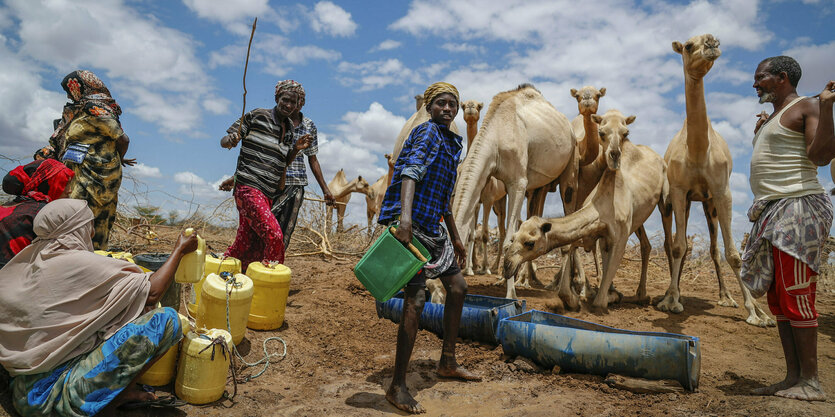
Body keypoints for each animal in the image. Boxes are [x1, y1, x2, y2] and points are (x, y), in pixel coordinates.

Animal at [454, 83, 580, 300]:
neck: (496, 135)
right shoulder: (489, 181)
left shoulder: (518, 182)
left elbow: (508, 241)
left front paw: (510, 295)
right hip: (539, 186)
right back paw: (524, 279)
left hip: (569, 165)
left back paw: (567, 287)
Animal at [502, 109, 672, 310]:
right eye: (513, 238)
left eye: (530, 243)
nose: (507, 266)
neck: (601, 208)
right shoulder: (597, 235)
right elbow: (571, 250)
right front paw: (576, 298)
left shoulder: (620, 238)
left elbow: (599, 301)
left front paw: (605, 296)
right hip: (638, 219)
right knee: (646, 244)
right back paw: (639, 294)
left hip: (665, 199)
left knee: (669, 238)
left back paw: (659, 298)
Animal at [656, 32, 772, 326]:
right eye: (687, 46)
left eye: (714, 39)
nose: (711, 43)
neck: (697, 150)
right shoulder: (678, 190)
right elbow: (679, 246)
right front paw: (671, 301)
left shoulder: (722, 191)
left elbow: (733, 254)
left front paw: (755, 312)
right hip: (682, 201)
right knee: (676, 244)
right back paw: (673, 293)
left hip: (709, 204)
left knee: (713, 250)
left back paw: (729, 298)